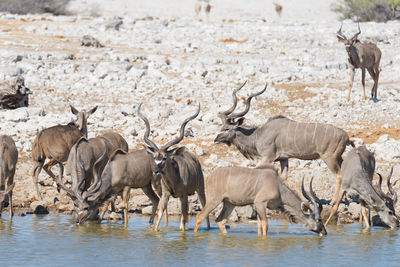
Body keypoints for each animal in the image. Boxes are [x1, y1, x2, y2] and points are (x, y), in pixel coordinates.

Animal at [138, 103, 209, 231]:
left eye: (165, 157)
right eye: (154, 157)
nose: (156, 171)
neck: (175, 179)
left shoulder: (184, 195)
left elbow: (184, 219)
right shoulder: (166, 195)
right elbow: (160, 214)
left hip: (200, 189)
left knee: (203, 207)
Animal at [195, 166, 326, 238]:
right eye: (319, 219)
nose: (324, 232)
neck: (278, 186)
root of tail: (209, 177)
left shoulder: (258, 206)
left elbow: (259, 226)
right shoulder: (260, 203)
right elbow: (265, 225)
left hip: (229, 204)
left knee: (219, 220)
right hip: (214, 200)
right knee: (200, 216)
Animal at [214, 81, 354, 207]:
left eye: (227, 128)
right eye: (221, 127)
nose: (215, 139)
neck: (259, 134)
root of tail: (346, 136)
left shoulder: (267, 157)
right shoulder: (284, 159)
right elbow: (284, 178)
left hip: (329, 158)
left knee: (339, 175)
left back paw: (333, 201)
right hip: (338, 158)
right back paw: (345, 199)